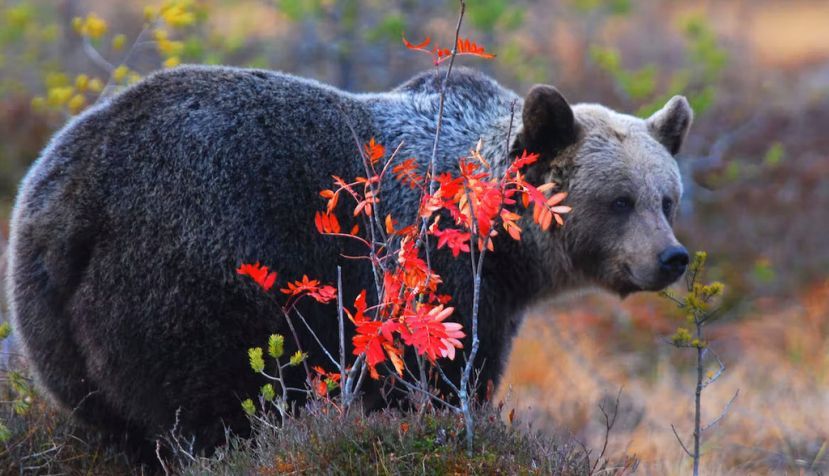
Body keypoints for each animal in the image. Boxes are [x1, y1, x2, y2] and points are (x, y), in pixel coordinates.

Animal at [6, 65, 692, 454]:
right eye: (620, 200)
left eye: (667, 198)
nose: (672, 257)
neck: (502, 249)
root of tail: (75, 200)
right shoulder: (437, 280)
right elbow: (437, 380)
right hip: (188, 279)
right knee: (207, 409)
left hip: (50, 319)